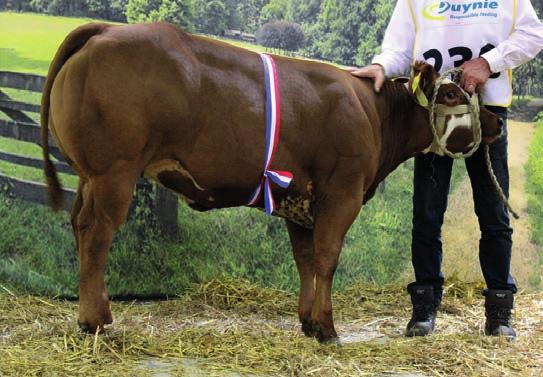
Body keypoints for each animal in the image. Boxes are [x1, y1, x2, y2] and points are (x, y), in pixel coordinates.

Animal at [41, 22, 502, 342]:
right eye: (451, 95)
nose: (496, 121)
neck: (373, 114)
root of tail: (106, 29)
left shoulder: (297, 200)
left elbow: (305, 260)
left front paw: (308, 321)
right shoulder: (343, 193)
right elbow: (327, 258)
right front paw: (327, 327)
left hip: (89, 175)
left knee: (78, 224)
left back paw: (93, 314)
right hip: (114, 171)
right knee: (96, 233)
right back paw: (96, 321)